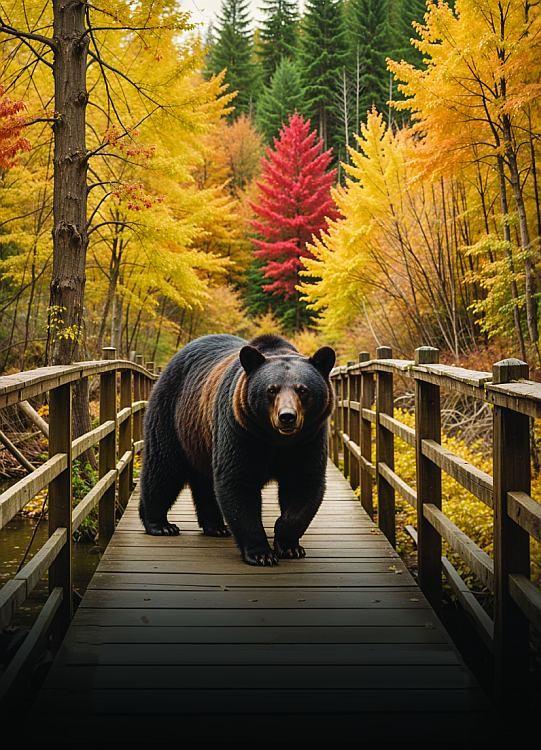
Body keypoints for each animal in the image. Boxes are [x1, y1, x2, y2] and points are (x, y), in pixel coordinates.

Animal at [139, 333, 336, 566]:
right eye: (272, 389)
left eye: (302, 389)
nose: (287, 416)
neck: (276, 439)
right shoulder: (241, 430)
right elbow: (238, 482)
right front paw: (261, 553)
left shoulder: (308, 438)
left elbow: (303, 483)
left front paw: (289, 544)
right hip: (172, 414)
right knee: (163, 467)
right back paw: (160, 524)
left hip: (201, 437)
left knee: (204, 480)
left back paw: (215, 527)